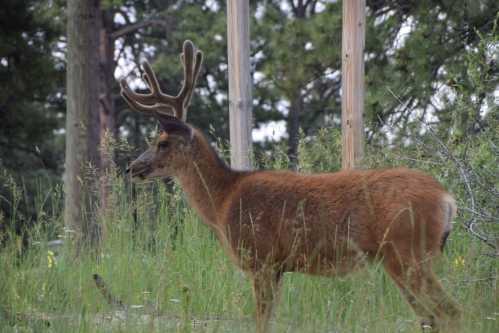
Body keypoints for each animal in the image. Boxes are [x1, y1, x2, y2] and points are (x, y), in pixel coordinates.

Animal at [120, 40, 460, 330]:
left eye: (162, 142)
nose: (132, 167)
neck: (223, 200)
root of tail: (447, 198)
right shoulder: (277, 267)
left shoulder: (261, 260)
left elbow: (261, 323)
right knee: (433, 317)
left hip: (407, 252)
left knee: (450, 311)